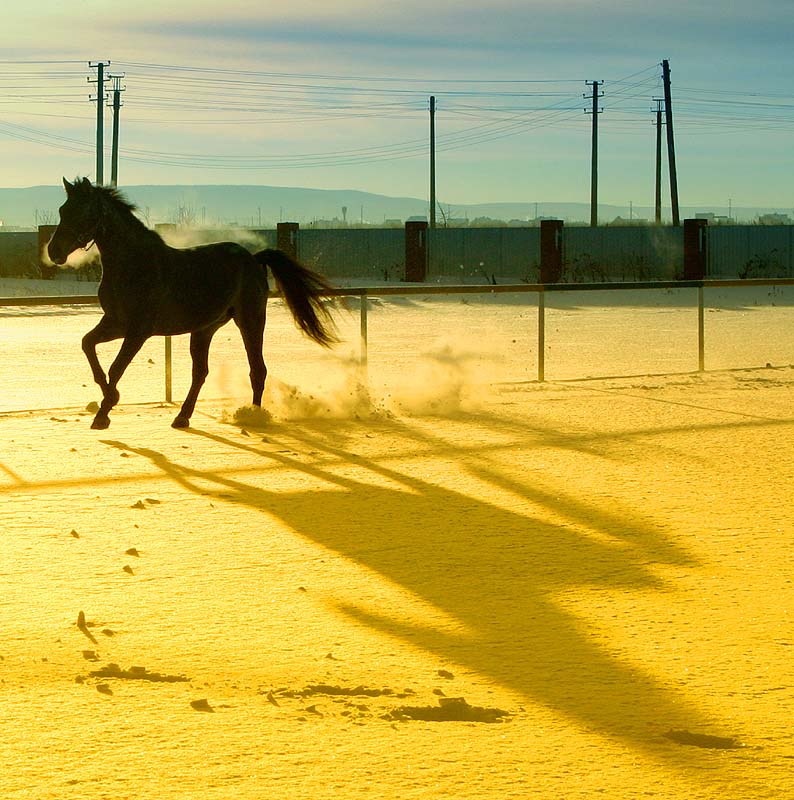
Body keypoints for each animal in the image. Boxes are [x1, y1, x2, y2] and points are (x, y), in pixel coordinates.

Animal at [46, 177, 338, 428]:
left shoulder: (138, 331)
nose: (54, 251)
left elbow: (116, 368)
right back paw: (182, 417)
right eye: (62, 209)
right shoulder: (115, 323)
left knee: (257, 370)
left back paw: (253, 417)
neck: (133, 265)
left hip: (251, 321)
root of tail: (254, 259)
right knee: (201, 372)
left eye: (83, 211)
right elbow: (88, 346)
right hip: (204, 329)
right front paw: (106, 403)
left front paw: (105, 412)